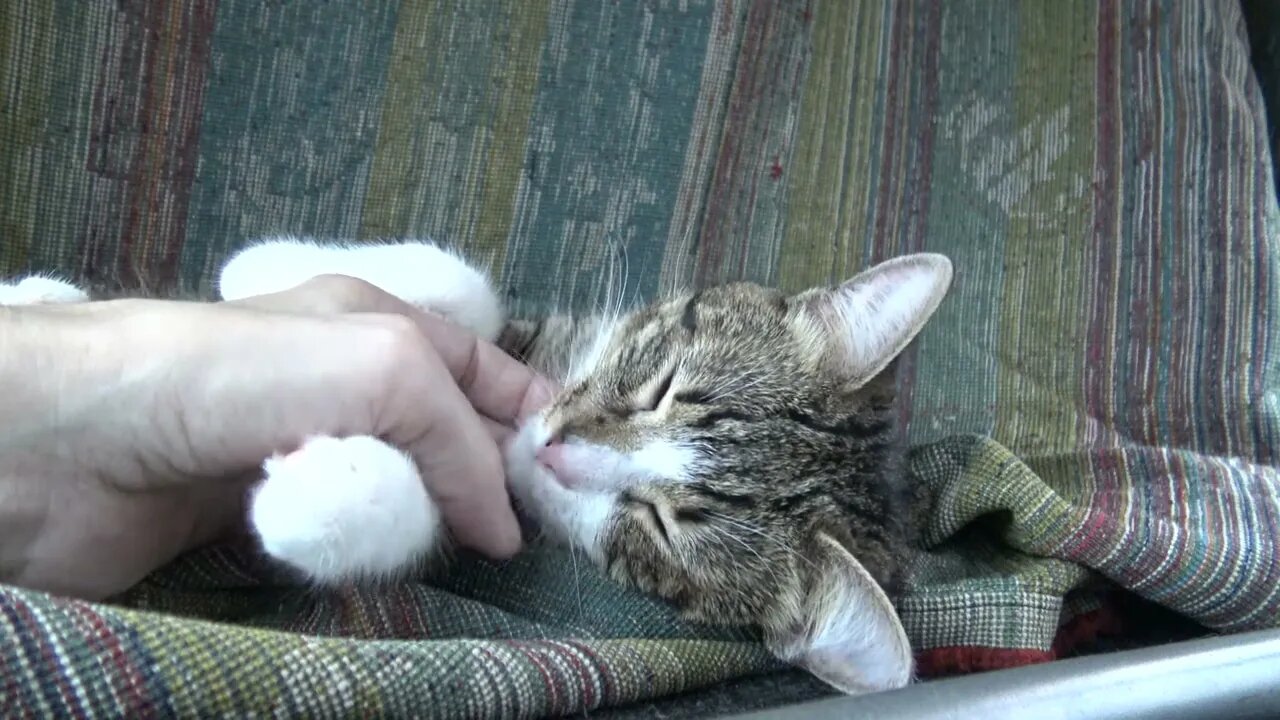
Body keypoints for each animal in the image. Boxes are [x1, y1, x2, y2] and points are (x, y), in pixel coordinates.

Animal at [0, 237, 952, 696]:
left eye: (660, 526)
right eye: (663, 388)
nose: (555, 446)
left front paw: (327, 497)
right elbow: (471, 290)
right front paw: (265, 267)